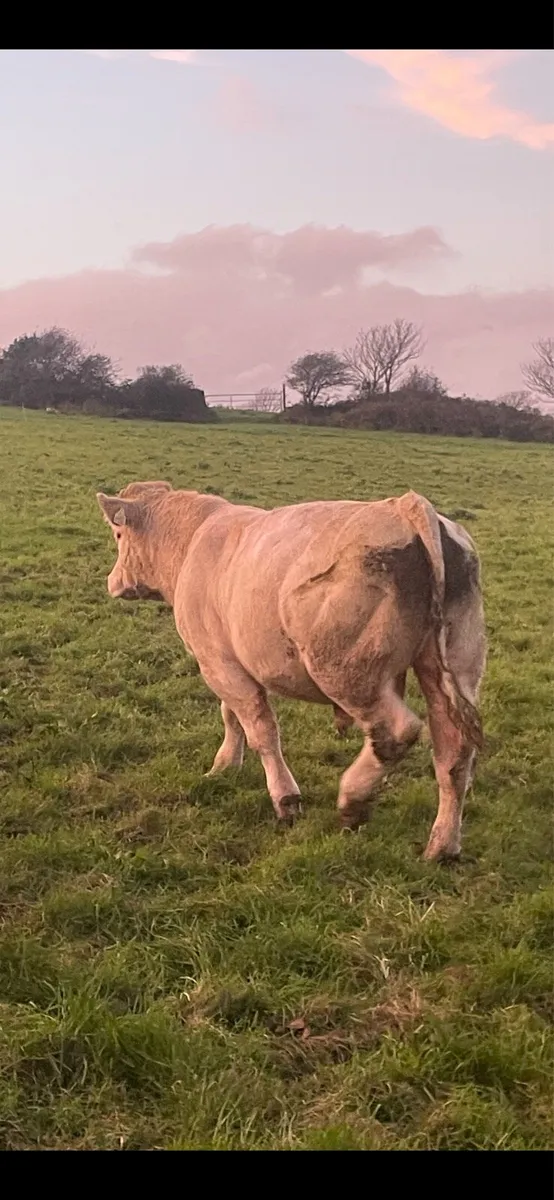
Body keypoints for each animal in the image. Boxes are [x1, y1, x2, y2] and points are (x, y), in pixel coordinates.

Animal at [96, 482, 486, 861]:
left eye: (117, 534)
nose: (112, 582)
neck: (191, 541)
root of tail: (405, 506)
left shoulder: (218, 663)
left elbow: (261, 731)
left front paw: (285, 799)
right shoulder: (230, 663)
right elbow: (232, 716)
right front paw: (226, 765)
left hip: (347, 673)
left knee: (397, 732)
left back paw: (353, 800)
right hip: (449, 670)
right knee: (453, 753)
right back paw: (442, 846)